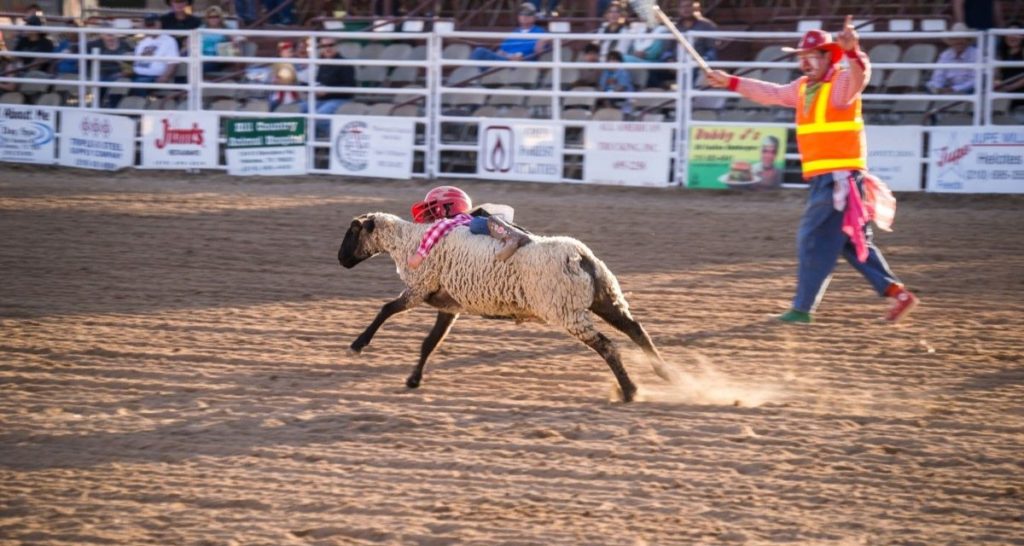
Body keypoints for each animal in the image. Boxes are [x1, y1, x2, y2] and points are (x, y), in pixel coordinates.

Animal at [335, 211, 671, 401]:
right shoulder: (449, 305)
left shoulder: (419, 287)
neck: (409, 240)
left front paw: (357, 344)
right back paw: (665, 373)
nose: (340, 260)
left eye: (352, 231)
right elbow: (429, 343)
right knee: (636, 330)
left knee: (607, 346)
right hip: (605, 297)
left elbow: (386, 309)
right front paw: (414, 379)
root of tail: (579, 257)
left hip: (566, 310)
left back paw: (630, 391)